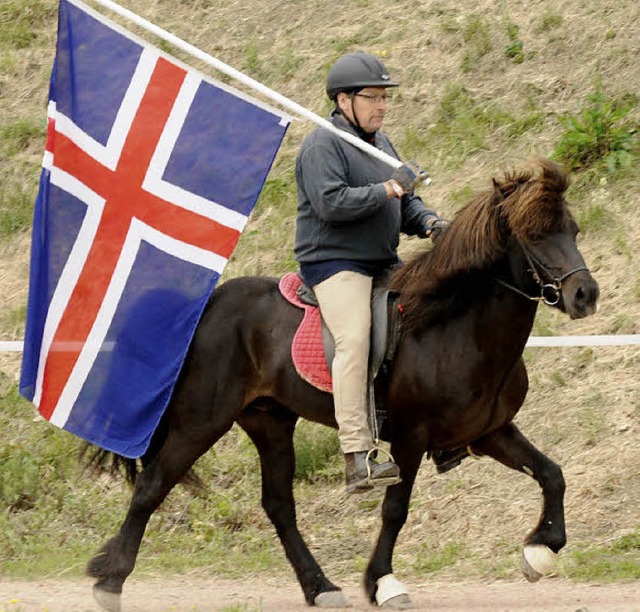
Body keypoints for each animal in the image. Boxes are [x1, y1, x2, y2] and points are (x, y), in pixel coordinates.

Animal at [86, 157, 600, 608]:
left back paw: (320, 587)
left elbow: (552, 474)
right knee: (153, 484)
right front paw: (383, 582)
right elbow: (395, 510)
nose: (585, 295)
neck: (454, 327)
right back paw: (110, 581)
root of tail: (209, 304)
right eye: (535, 234)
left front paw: (541, 549)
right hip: (202, 421)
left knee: (278, 504)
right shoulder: (410, 438)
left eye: (573, 231)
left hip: (270, 421)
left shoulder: (490, 432)